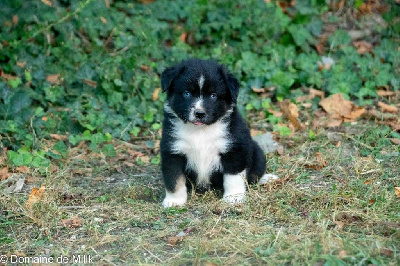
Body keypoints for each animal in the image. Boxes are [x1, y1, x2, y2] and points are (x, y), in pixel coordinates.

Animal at [159, 59, 278, 207]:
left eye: (213, 95)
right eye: (187, 93)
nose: (199, 113)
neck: (201, 131)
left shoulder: (234, 149)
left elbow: (233, 177)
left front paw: (233, 198)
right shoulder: (173, 151)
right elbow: (174, 178)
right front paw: (174, 201)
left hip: (257, 153)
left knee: (255, 174)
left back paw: (268, 178)